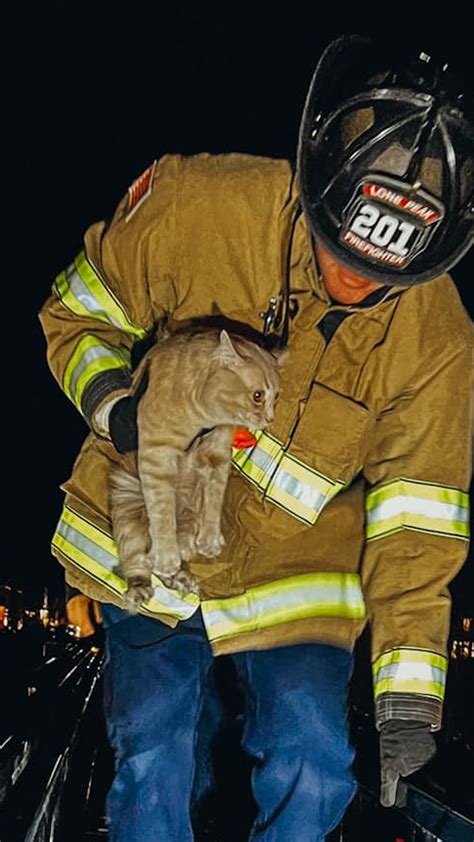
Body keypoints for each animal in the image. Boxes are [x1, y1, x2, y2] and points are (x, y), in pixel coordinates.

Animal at [110, 328, 286, 612]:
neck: (203, 416)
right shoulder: (157, 455)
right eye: (258, 396)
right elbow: (162, 515)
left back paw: (181, 576)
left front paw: (209, 540)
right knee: (137, 562)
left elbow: (213, 502)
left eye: (276, 397)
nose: (270, 419)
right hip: (128, 510)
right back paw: (143, 587)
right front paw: (167, 555)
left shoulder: (218, 456)